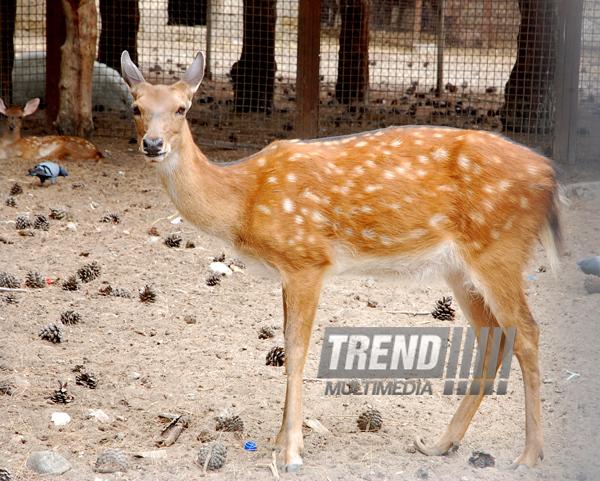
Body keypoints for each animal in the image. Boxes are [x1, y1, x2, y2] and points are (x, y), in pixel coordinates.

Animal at [123, 50, 568, 470]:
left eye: (182, 107)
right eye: (137, 107)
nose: (153, 145)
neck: (244, 200)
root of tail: (550, 177)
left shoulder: (306, 258)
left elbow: (297, 349)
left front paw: (292, 452)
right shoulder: (288, 269)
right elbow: (287, 341)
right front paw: (278, 442)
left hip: (500, 248)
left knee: (528, 333)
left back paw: (529, 454)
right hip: (460, 268)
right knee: (493, 338)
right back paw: (441, 443)